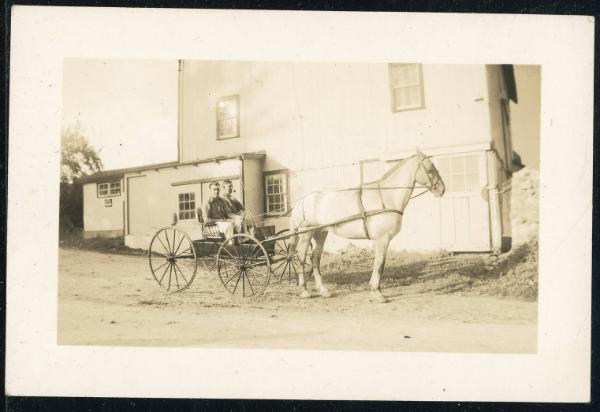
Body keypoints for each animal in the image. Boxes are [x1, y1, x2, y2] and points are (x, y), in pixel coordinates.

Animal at [290, 149, 446, 302]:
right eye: (430, 169)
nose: (442, 190)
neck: (386, 197)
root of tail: (303, 200)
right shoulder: (382, 238)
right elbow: (380, 263)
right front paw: (377, 293)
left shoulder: (380, 239)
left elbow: (378, 262)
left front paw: (374, 289)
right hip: (306, 234)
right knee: (301, 258)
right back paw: (304, 291)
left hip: (320, 233)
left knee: (315, 259)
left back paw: (323, 290)